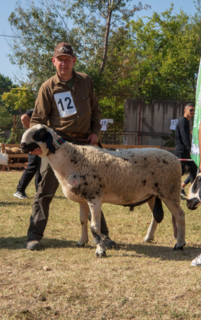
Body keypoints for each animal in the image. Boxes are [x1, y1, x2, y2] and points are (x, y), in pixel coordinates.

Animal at [20, 124, 185, 258]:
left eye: (39, 133)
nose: (22, 146)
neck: (69, 159)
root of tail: (175, 159)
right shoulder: (83, 199)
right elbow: (82, 221)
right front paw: (81, 242)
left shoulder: (94, 197)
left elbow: (95, 227)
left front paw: (100, 251)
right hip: (153, 195)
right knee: (156, 216)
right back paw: (149, 237)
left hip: (170, 191)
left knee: (179, 215)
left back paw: (179, 244)